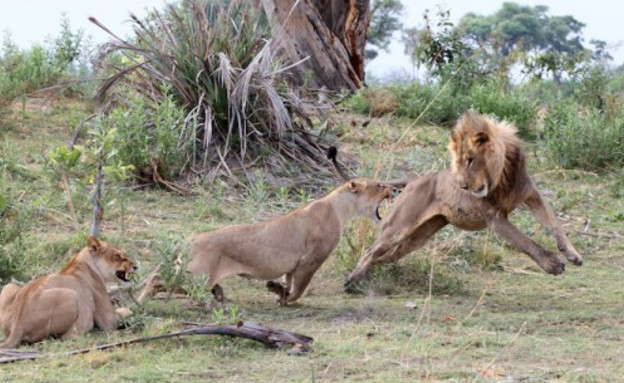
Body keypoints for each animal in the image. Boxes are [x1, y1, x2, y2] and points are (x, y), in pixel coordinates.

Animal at [0, 236, 136, 350]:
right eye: (119, 256)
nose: (136, 266)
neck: (81, 260)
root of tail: (17, 325)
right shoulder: (108, 319)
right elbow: (123, 313)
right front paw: (128, 310)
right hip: (72, 295)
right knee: (65, 336)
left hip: (8, 286)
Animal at [139, 178, 392, 306]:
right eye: (379, 185)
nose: (393, 188)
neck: (340, 208)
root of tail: (189, 239)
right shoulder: (311, 259)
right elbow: (299, 288)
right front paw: (284, 298)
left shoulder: (293, 264)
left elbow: (289, 282)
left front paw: (278, 291)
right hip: (198, 276)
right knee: (158, 278)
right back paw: (141, 300)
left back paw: (218, 292)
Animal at [346, 111, 584, 288]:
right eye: (458, 162)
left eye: (470, 160)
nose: (462, 186)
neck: (503, 176)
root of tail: (413, 180)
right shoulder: (495, 218)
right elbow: (526, 242)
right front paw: (552, 264)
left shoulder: (532, 195)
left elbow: (554, 224)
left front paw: (573, 255)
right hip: (399, 227)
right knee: (371, 250)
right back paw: (351, 280)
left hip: (419, 237)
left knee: (386, 255)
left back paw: (364, 276)